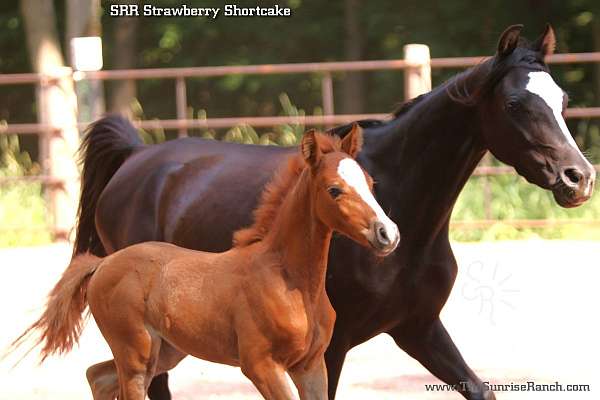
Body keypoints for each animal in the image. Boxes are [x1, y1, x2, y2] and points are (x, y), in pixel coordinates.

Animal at [12, 126, 398, 400]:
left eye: (370, 182)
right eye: (334, 189)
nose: (387, 233)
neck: (292, 280)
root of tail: (103, 265)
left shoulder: (310, 365)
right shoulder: (261, 365)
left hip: (165, 351)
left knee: (98, 376)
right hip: (136, 353)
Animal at [71, 25, 596, 400]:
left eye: (563, 100)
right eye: (514, 103)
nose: (579, 178)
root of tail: (135, 157)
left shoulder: (418, 328)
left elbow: (481, 390)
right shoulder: (332, 347)